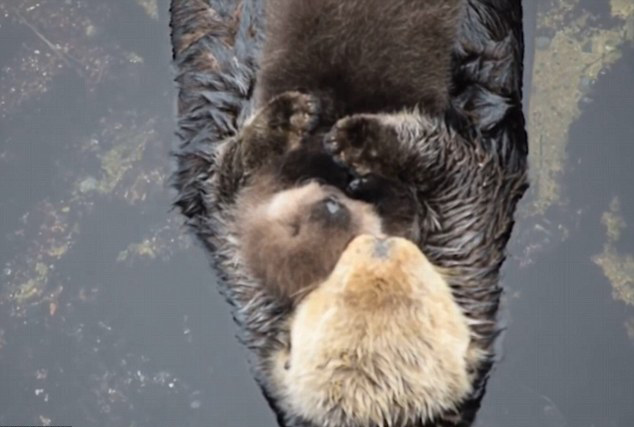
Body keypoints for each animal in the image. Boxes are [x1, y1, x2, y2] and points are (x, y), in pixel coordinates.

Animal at [170, 0, 524, 427]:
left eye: (419, 299)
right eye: (335, 298)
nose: (381, 249)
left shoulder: (465, 230)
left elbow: (446, 161)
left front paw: (361, 139)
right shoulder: (242, 262)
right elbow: (223, 179)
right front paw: (289, 121)